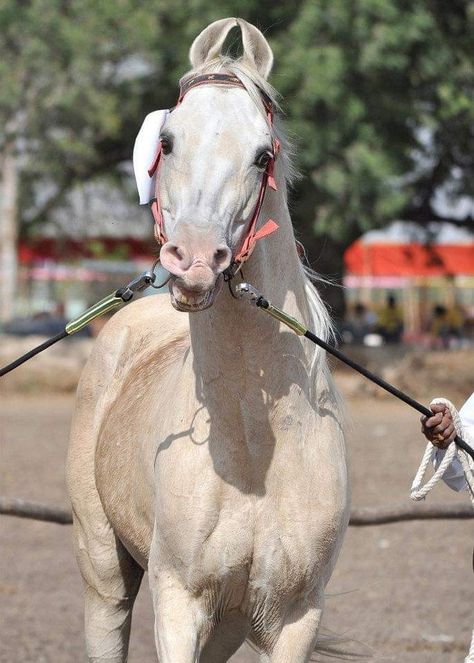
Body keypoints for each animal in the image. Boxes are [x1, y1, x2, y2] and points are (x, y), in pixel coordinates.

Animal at [66, 18, 348, 663]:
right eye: (167, 141)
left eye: (263, 154)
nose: (193, 261)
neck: (254, 449)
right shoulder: (179, 601)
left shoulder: (295, 616)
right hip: (103, 572)